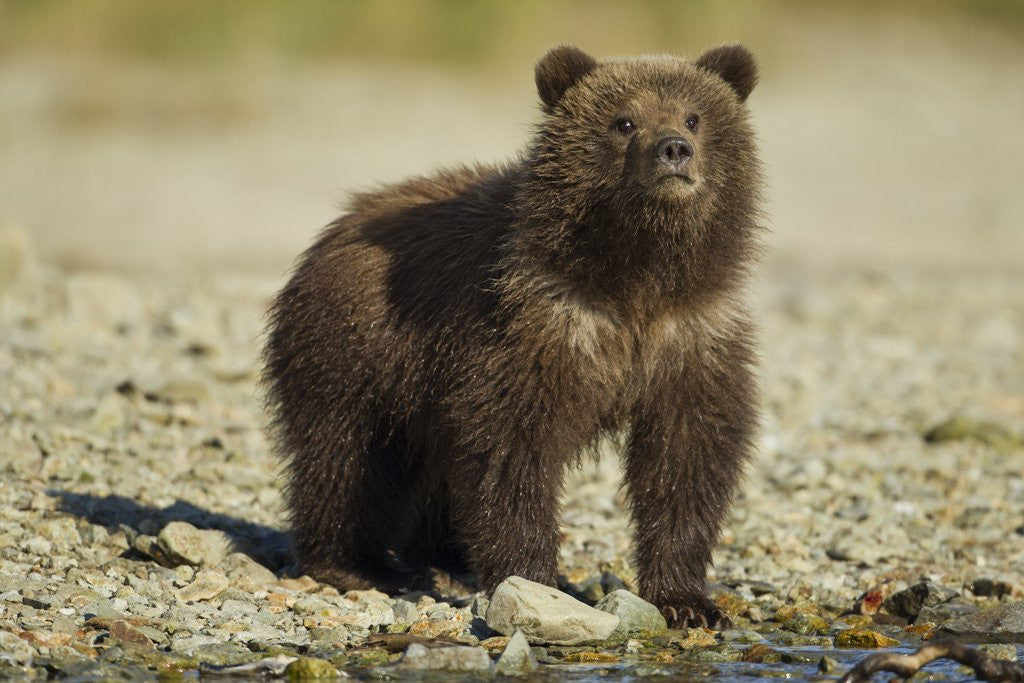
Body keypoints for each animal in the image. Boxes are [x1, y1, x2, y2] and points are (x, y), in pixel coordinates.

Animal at [263, 43, 762, 628]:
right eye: (624, 121)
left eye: (693, 117)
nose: (674, 151)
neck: (636, 277)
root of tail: (335, 227)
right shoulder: (530, 325)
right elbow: (512, 443)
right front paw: (533, 578)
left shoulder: (690, 335)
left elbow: (688, 454)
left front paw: (688, 602)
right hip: (355, 348)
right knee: (346, 457)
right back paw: (354, 564)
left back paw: (445, 557)